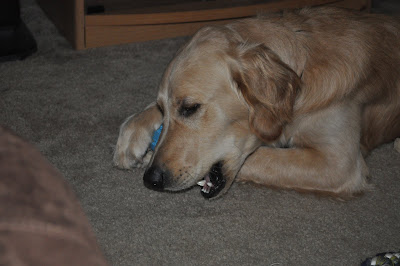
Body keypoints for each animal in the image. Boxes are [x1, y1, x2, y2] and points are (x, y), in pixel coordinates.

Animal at [112, 7, 400, 198]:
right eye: (163, 109)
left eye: (190, 108)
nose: (152, 179)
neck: (302, 73)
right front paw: (132, 135)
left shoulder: (337, 163)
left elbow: (264, 158)